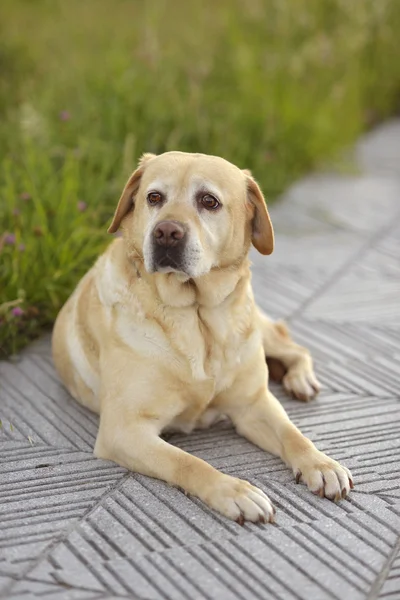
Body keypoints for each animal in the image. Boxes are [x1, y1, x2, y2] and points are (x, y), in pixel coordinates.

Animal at [52, 152, 354, 524]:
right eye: (154, 197)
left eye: (209, 201)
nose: (166, 232)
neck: (196, 315)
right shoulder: (124, 430)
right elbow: (188, 462)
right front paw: (235, 491)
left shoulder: (253, 404)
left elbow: (292, 434)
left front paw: (320, 464)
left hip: (258, 328)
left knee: (293, 345)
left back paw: (301, 379)